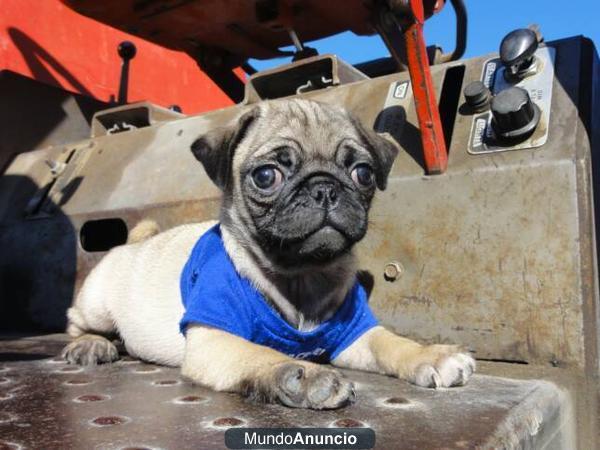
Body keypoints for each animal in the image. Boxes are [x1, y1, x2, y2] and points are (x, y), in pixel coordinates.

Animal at [63, 98, 476, 408]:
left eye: (363, 173)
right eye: (266, 176)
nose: (324, 188)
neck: (302, 275)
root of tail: (136, 242)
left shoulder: (356, 335)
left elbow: (392, 342)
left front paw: (431, 354)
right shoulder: (214, 339)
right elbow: (262, 353)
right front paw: (306, 376)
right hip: (96, 303)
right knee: (75, 324)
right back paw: (90, 345)